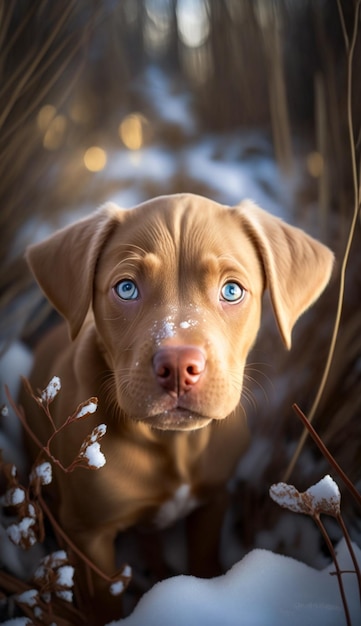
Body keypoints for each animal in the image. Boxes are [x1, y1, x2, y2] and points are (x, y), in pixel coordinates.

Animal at [21, 194, 334, 620]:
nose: (178, 366)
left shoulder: (214, 498)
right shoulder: (88, 535)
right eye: (126, 288)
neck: (175, 445)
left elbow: (204, 559)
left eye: (231, 291)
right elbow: (104, 601)